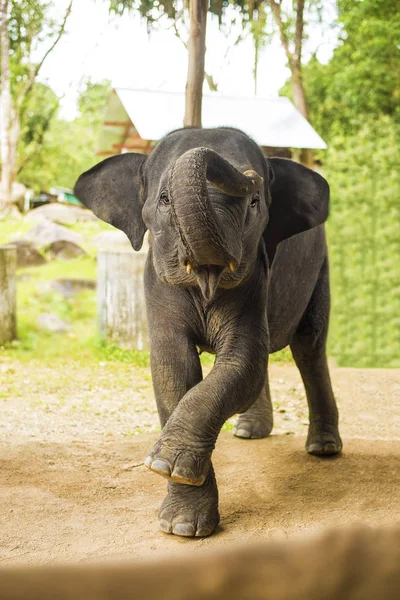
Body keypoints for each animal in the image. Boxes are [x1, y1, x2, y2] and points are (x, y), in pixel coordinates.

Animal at [74, 127, 340, 540]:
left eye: (254, 204)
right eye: (164, 199)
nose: (254, 177)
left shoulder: (256, 277)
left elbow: (242, 360)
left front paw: (168, 465)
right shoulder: (156, 285)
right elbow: (174, 368)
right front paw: (182, 524)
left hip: (321, 267)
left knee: (308, 346)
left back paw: (324, 449)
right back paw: (250, 432)